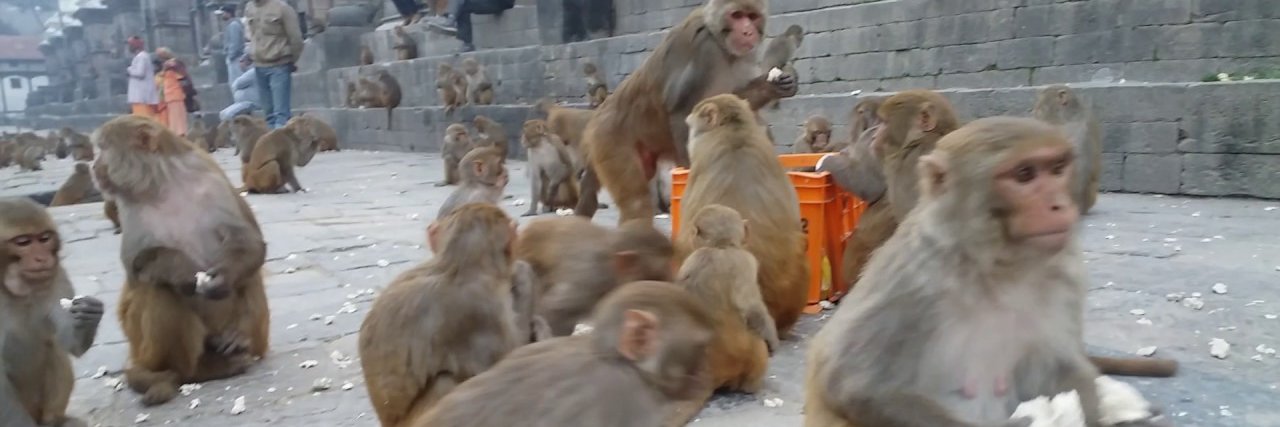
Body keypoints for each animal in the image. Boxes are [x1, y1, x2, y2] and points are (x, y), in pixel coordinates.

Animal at [0, 197, 104, 427]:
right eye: (23, 242)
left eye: (44, 239)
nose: (41, 258)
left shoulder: (57, 277)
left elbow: (69, 343)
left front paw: (88, 314)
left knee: (53, 348)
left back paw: (55, 421)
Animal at [92, 115, 270, 406]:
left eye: (103, 148)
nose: (94, 166)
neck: (161, 183)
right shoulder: (126, 202)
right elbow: (135, 263)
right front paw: (182, 270)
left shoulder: (209, 177)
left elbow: (247, 240)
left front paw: (221, 278)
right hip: (145, 349)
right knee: (159, 290)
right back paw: (198, 370)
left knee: (249, 274)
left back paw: (237, 341)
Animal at [576, 0, 797, 222]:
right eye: (737, 15)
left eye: (752, 17)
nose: (747, 32)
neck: (718, 38)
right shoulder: (704, 51)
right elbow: (684, 112)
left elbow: (733, 102)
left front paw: (778, 85)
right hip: (610, 142)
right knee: (635, 203)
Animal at [803, 117, 1171, 427]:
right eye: (1024, 174)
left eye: (1056, 168)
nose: (1059, 204)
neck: (996, 267)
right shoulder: (912, 280)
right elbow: (854, 383)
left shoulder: (1064, 275)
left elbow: (1061, 370)